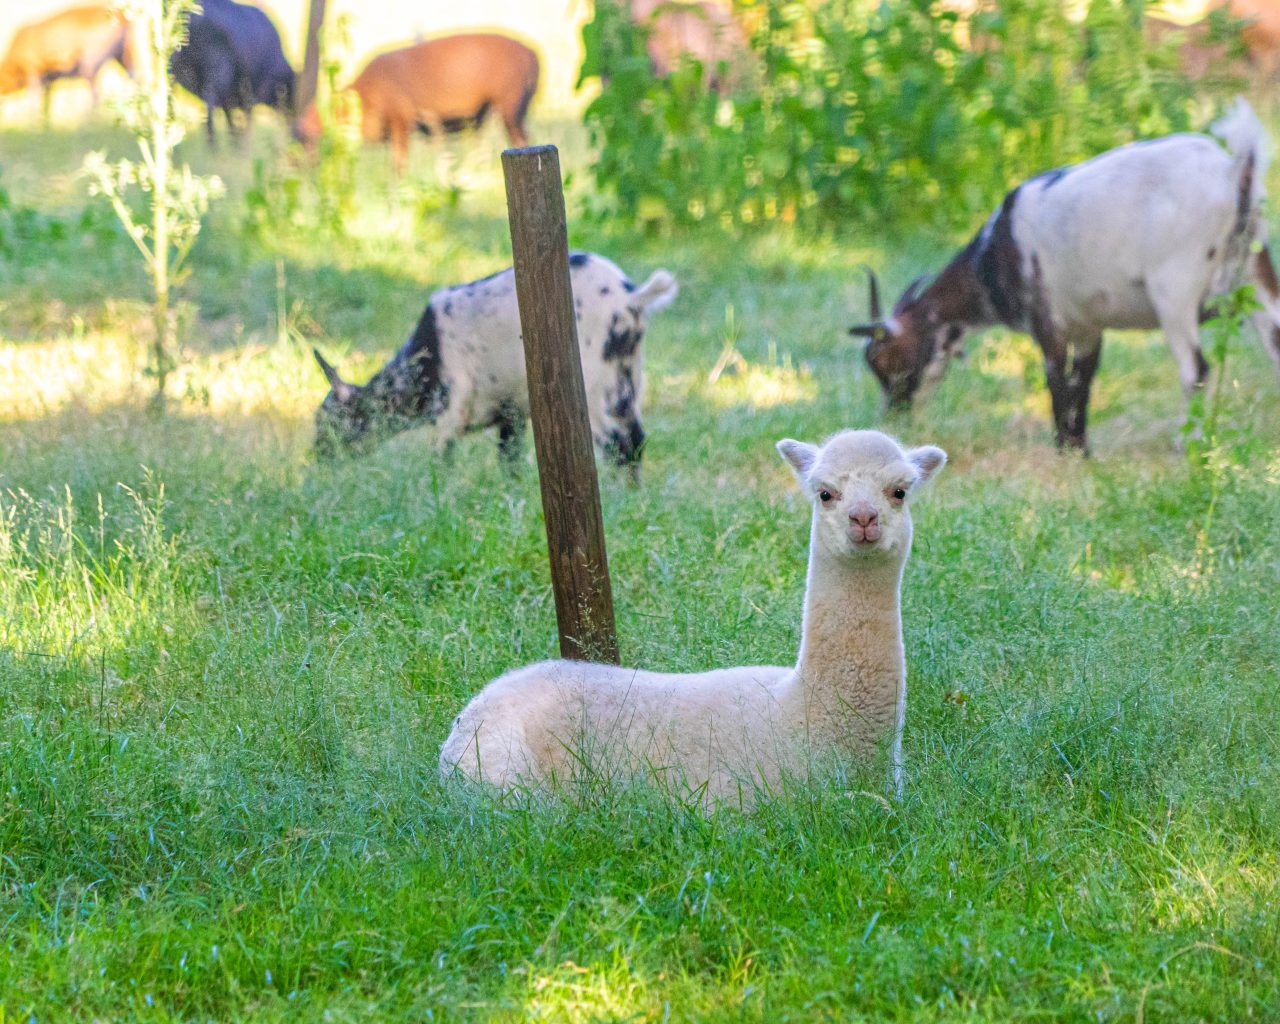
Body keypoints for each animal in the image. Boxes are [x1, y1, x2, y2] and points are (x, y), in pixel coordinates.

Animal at [0, 4, 133, 117]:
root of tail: (118, 14)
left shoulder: (33, 73)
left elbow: (34, 102)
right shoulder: (48, 82)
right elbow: (46, 105)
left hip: (90, 65)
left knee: (96, 94)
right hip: (124, 60)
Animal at [296, 35, 537, 171]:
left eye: (306, 137)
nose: (296, 165)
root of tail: (532, 54)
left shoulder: (402, 123)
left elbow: (398, 166)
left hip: (510, 112)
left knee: (520, 140)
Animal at [312, 253, 680, 471]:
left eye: (331, 423)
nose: (318, 458)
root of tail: (631, 297)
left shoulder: (452, 409)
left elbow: (442, 461)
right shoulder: (511, 411)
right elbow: (509, 463)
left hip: (596, 385)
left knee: (618, 445)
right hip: (626, 377)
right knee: (635, 439)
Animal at [849, 101, 1280, 450]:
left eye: (885, 362)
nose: (893, 419)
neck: (998, 248)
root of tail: (1233, 171)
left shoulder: (1047, 318)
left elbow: (1057, 380)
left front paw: (1062, 447)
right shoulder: (1088, 325)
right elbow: (1082, 381)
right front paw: (1079, 446)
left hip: (1174, 287)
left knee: (1196, 370)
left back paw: (1185, 443)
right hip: (1257, 269)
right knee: (1274, 340)